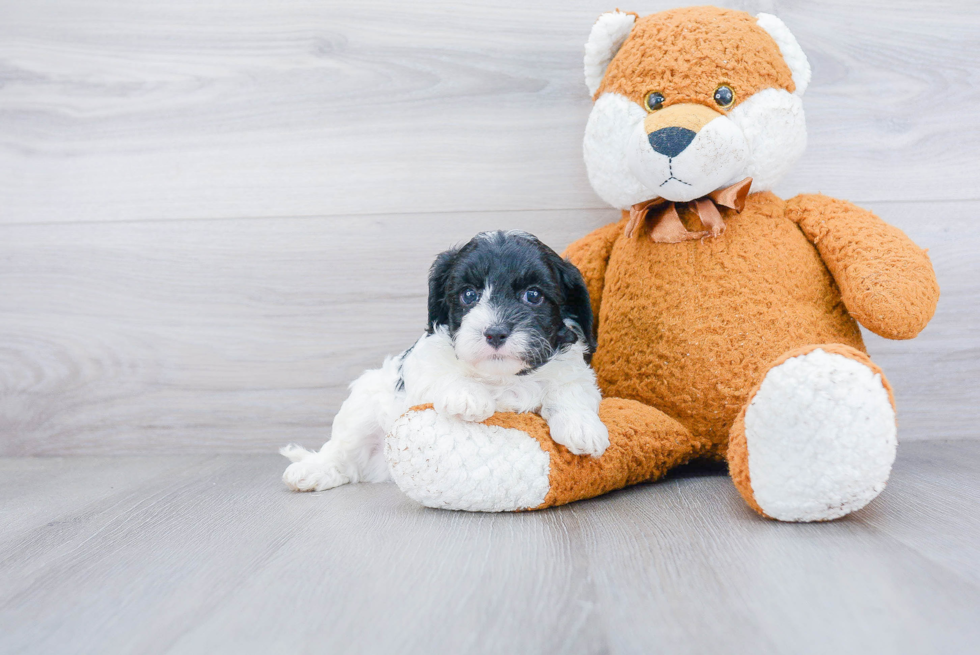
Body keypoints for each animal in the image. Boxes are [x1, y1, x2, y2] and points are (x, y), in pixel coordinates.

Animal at [280, 231, 608, 492]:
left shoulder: (574, 371)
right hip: (363, 405)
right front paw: (468, 395)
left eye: (533, 295)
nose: (495, 332)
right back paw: (313, 470)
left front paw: (583, 427)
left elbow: (571, 391)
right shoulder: (423, 360)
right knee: (343, 452)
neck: (501, 376)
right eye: (469, 295)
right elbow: (439, 372)